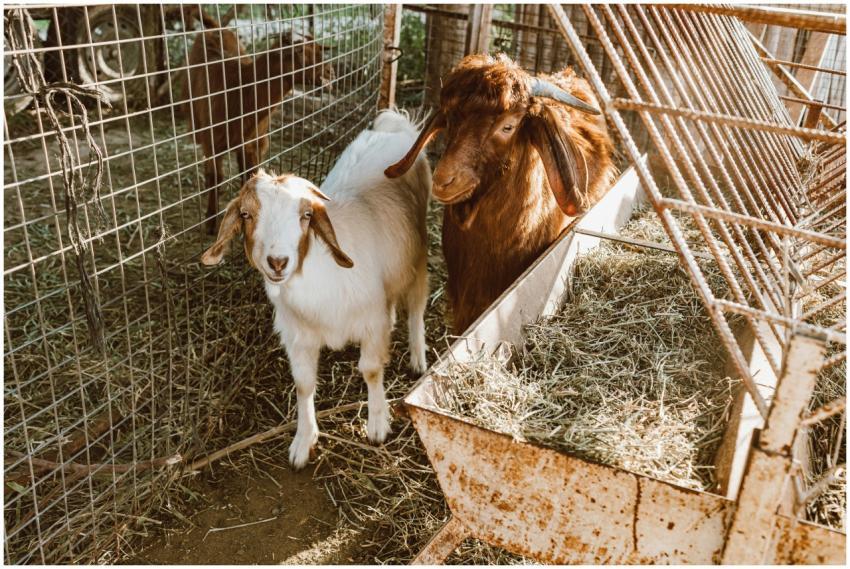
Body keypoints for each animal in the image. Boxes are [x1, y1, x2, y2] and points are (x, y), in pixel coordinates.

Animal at [186, 24, 334, 234]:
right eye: (299, 51)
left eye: (320, 49)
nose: (330, 72)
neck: (239, 90)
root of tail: (215, 29)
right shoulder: (212, 142)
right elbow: (216, 176)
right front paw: (210, 222)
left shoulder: (253, 142)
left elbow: (251, 175)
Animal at [201, 110, 431, 469]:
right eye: (246, 214)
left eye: (306, 215)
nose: (277, 262)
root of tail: (395, 126)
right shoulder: (298, 335)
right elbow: (303, 383)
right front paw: (303, 440)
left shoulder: (371, 322)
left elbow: (371, 369)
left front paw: (377, 424)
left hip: (417, 253)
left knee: (418, 303)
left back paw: (418, 356)